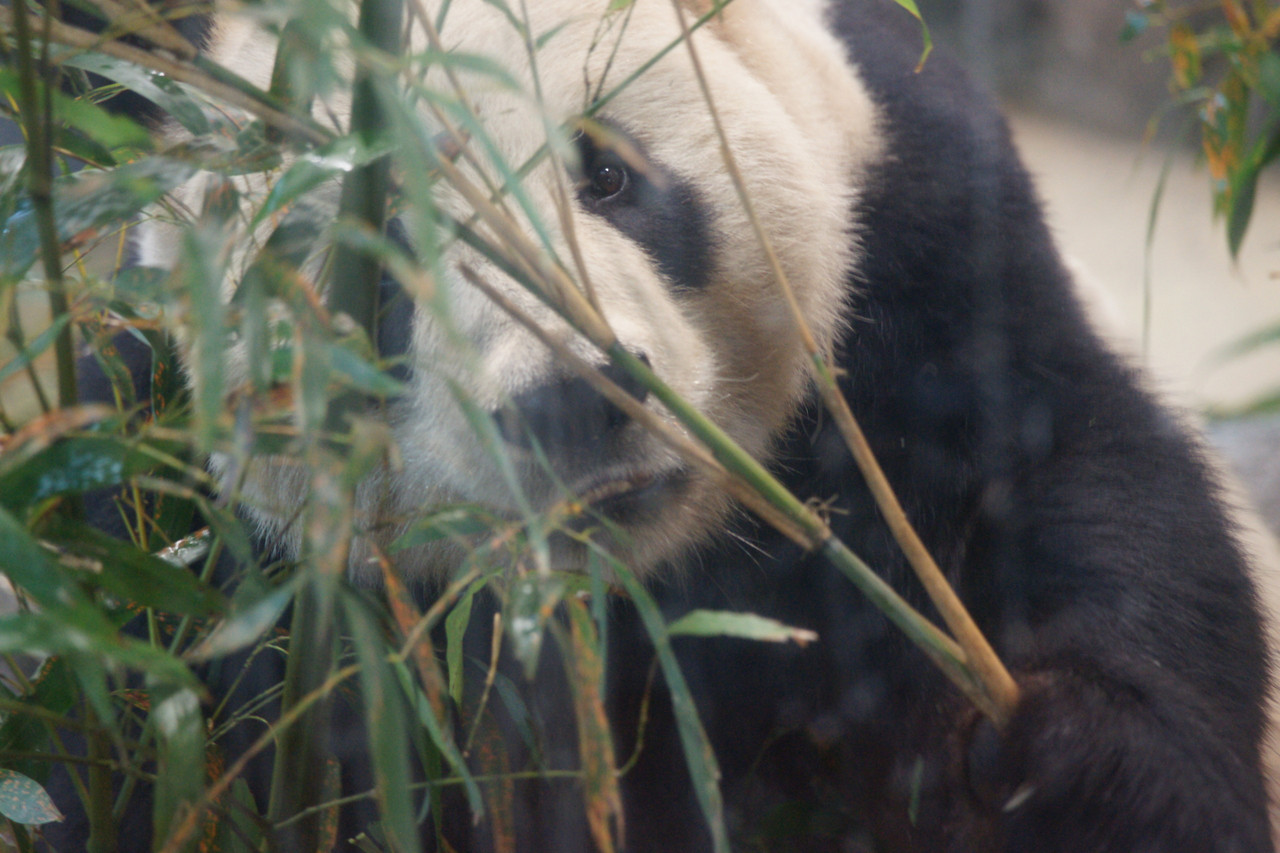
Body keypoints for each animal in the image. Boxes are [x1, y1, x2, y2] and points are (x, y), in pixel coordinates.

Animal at [46, 0, 1276, 850]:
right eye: (375, 276)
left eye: (608, 176)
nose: (572, 397)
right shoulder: (181, 537)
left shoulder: (921, 240)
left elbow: (1087, 488)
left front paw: (1069, 769)